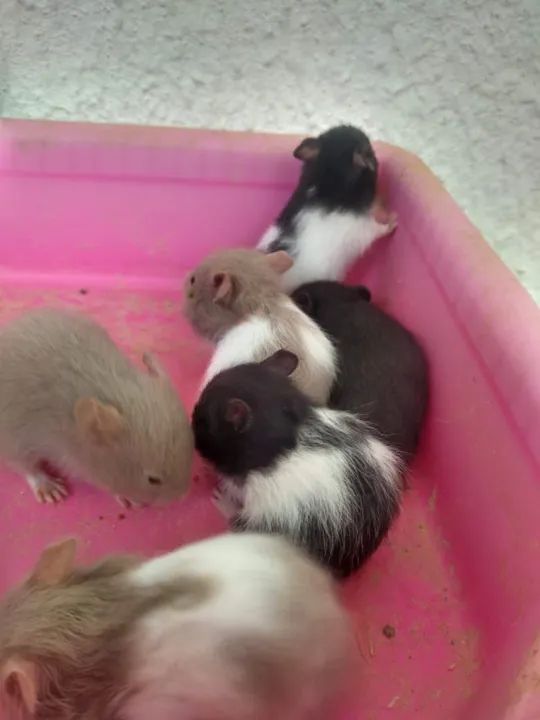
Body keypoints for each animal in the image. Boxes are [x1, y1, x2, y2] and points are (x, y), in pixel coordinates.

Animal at [0, 308, 193, 506]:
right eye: (153, 480)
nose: (183, 495)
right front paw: (128, 499)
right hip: (12, 440)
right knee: (25, 466)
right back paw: (50, 489)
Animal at [257, 124, 397, 293]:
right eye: (369, 151)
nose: (373, 154)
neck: (328, 176)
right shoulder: (359, 228)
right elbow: (378, 228)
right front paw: (394, 219)